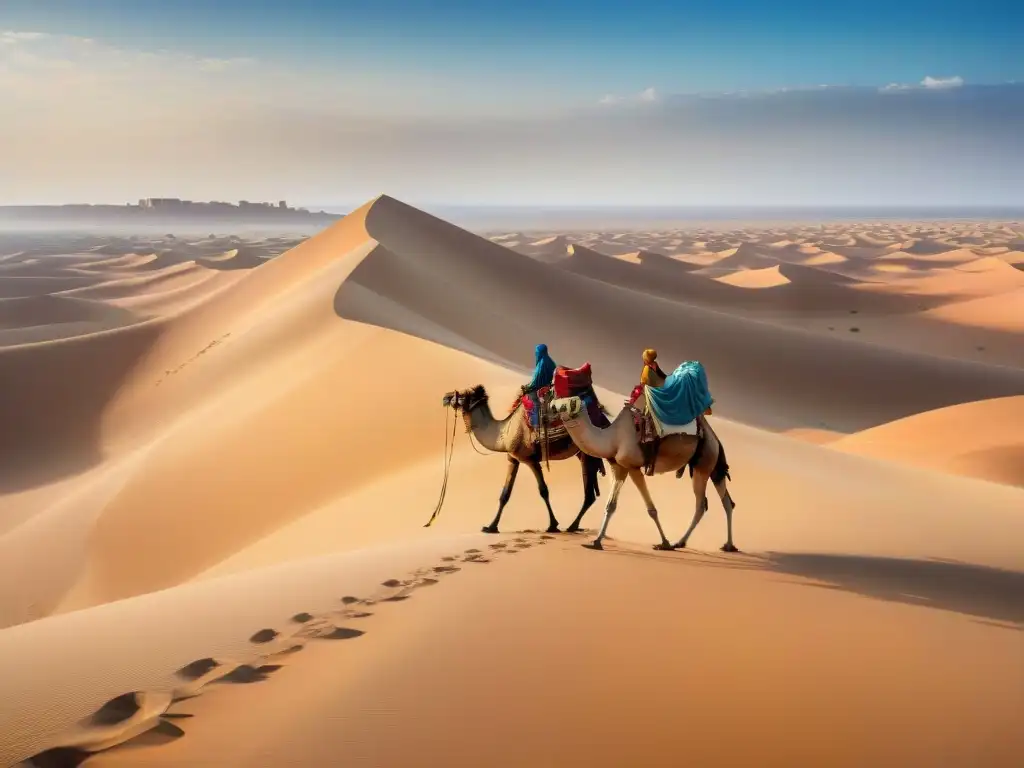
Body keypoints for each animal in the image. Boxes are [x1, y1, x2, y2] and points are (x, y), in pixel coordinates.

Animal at [442, 385, 602, 536]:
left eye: (463, 394)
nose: (445, 397)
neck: (504, 434)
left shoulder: (529, 459)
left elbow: (543, 490)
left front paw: (553, 525)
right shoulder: (513, 459)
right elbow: (505, 494)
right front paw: (491, 527)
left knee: (589, 492)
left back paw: (573, 526)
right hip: (583, 454)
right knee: (590, 493)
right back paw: (574, 526)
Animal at [544, 391, 737, 552]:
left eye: (562, 406)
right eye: (554, 403)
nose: (546, 414)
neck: (612, 438)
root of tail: (714, 438)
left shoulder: (633, 467)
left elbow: (651, 509)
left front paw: (665, 543)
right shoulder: (619, 467)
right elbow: (610, 505)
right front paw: (597, 541)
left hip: (703, 462)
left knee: (701, 504)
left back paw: (680, 542)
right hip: (711, 464)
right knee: (726, 500)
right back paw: (727, 545)